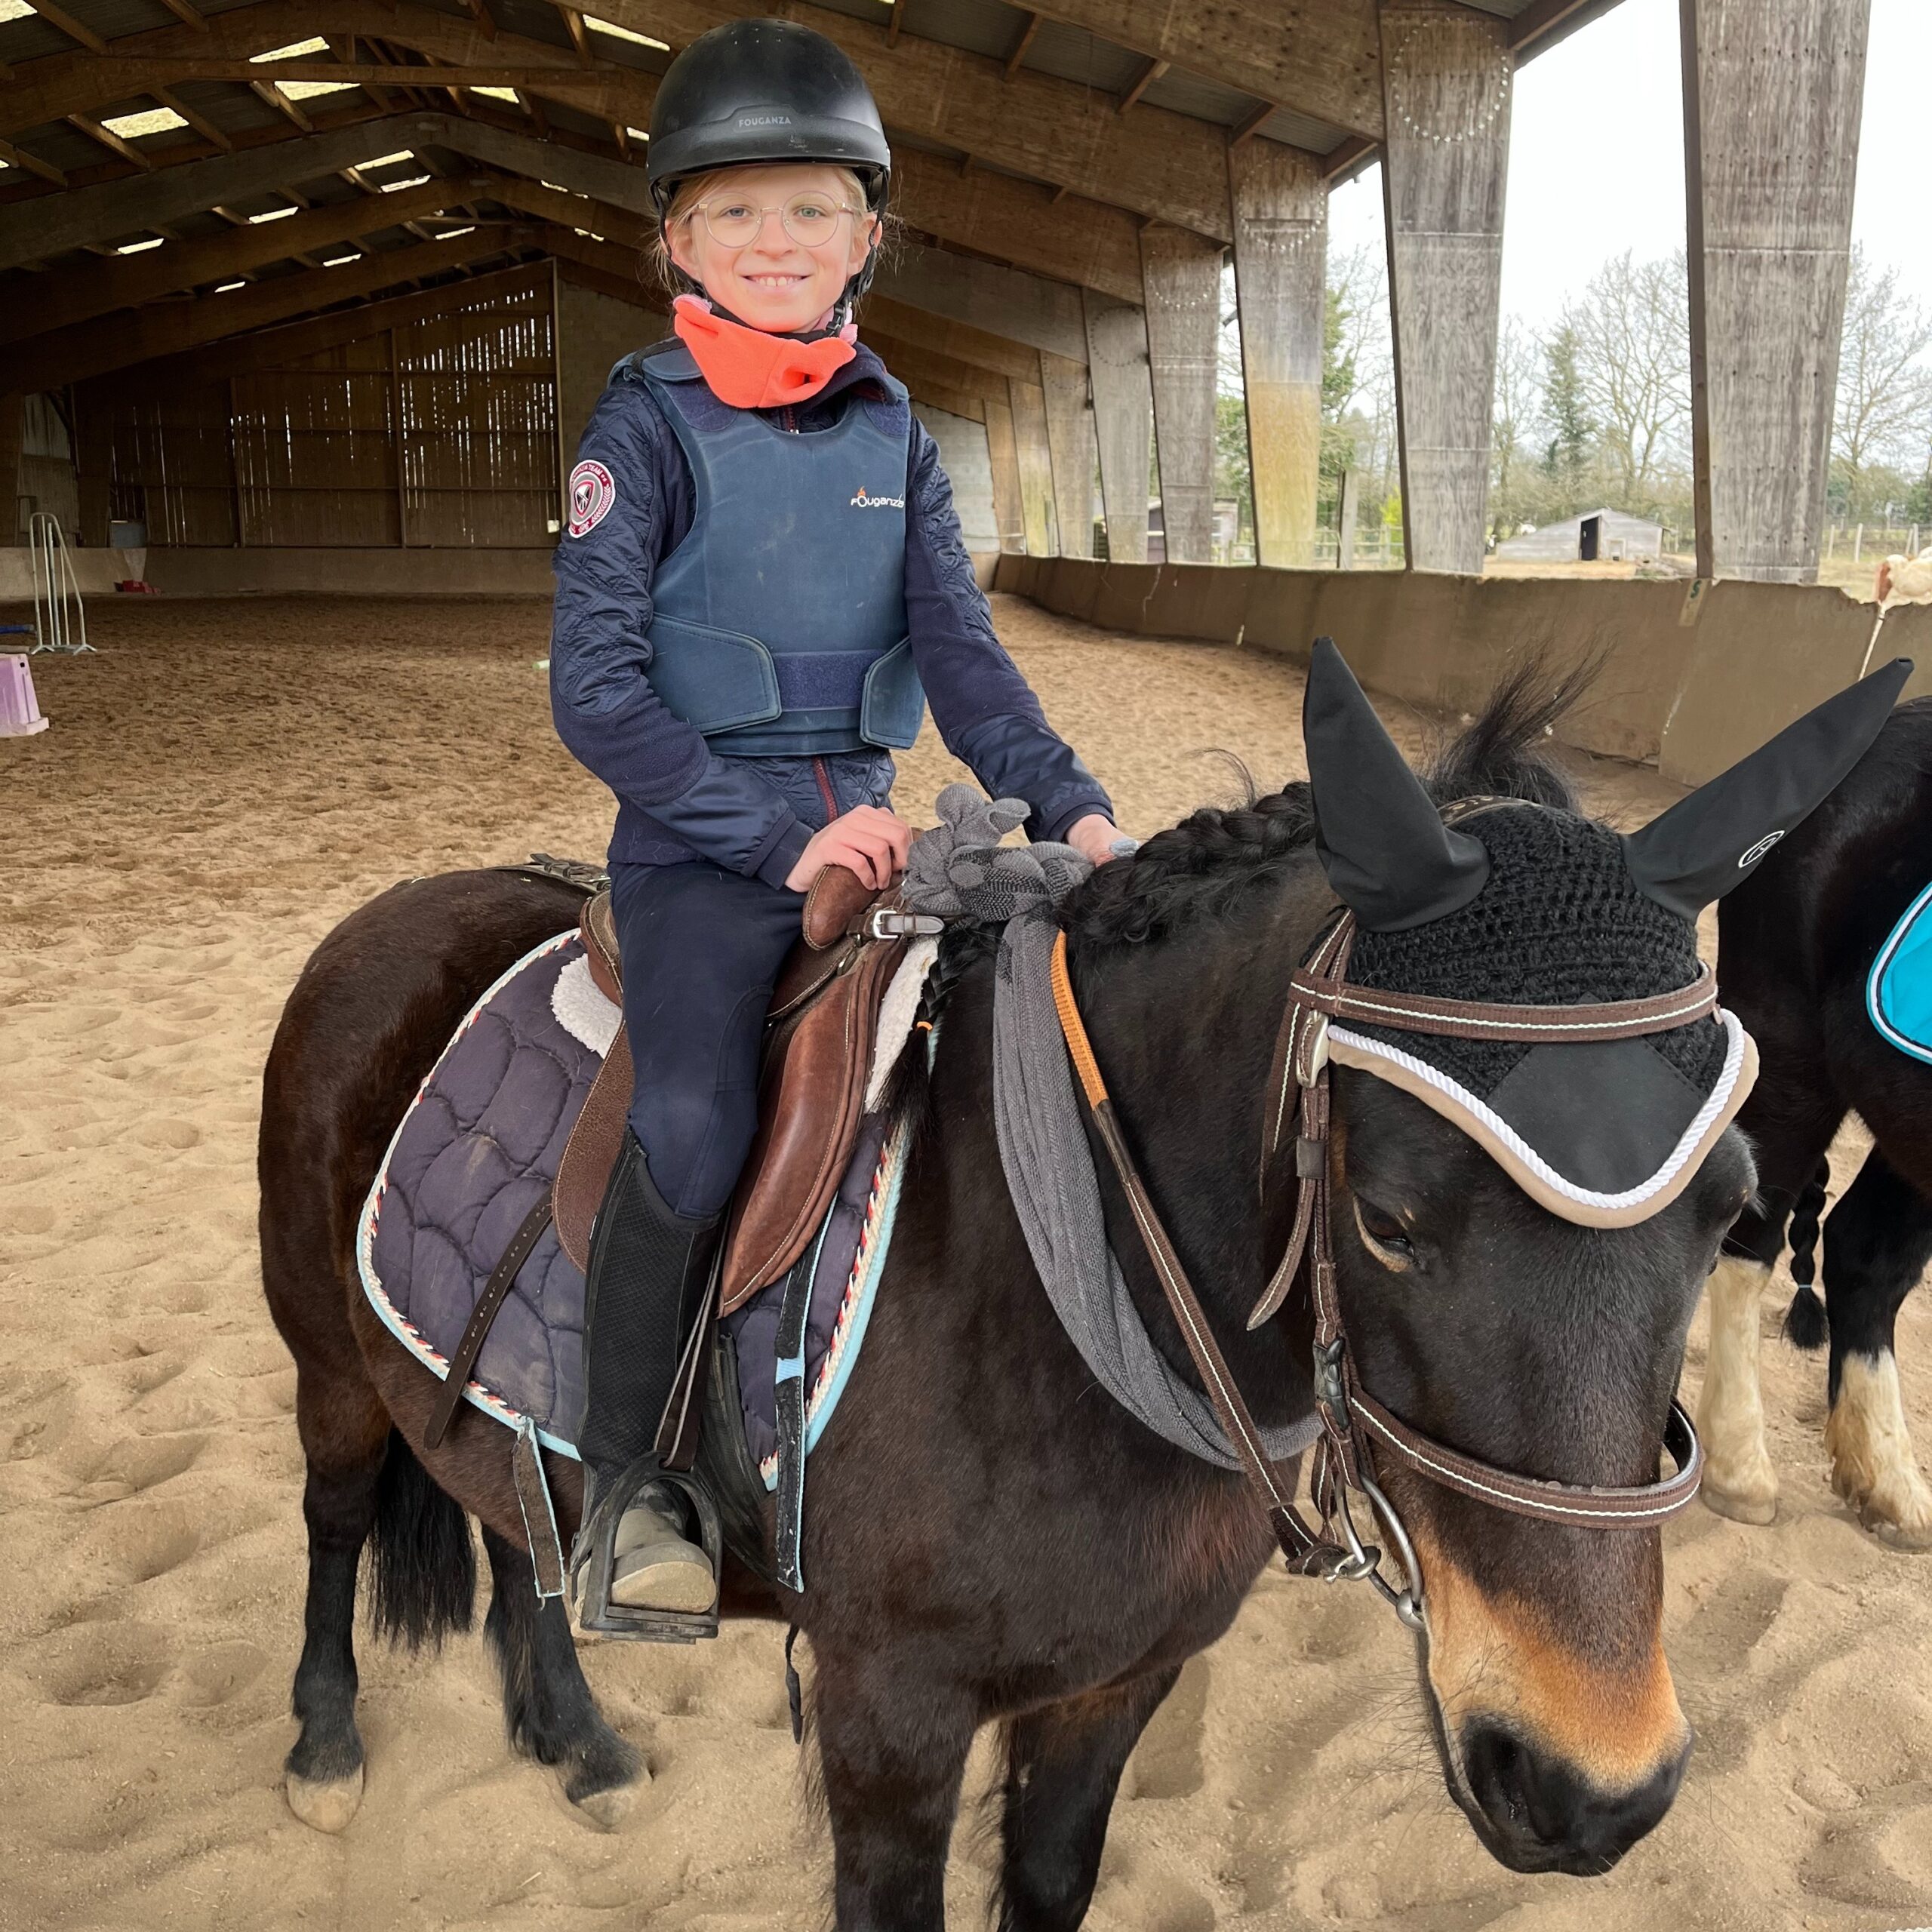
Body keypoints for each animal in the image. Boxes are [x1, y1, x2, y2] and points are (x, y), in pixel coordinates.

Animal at [253, 684, 1739, 1916]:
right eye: (1387, 1221)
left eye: (1729, 1211)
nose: (1591, 1784)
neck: (1072, 1275)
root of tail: (397, 909)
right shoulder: (888, 1719)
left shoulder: (1111, 1691)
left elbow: (1051, 1885)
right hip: (328, 1358)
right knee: (337, 1517)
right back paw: (324, 1744)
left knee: (515, 1523)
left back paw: (573, 1739)